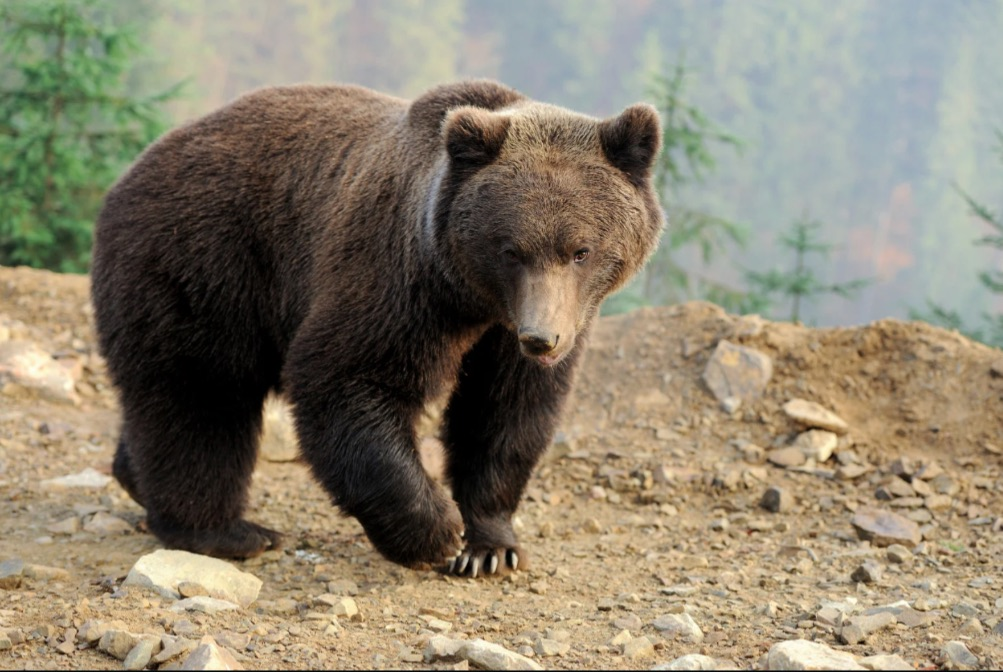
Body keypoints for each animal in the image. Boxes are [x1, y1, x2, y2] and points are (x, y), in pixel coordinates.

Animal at [90, 80, 663, 577]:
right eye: (511, 249)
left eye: (581, 250)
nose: (542, 339)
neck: (474, 298)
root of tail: (130, 172)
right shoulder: (399, 276)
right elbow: (348, 379)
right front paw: (438, 532)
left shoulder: (515, 328)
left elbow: (504, 412)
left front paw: (489, 546)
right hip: (204, 263)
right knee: (200, 397)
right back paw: (228, 532)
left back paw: (135, 478)